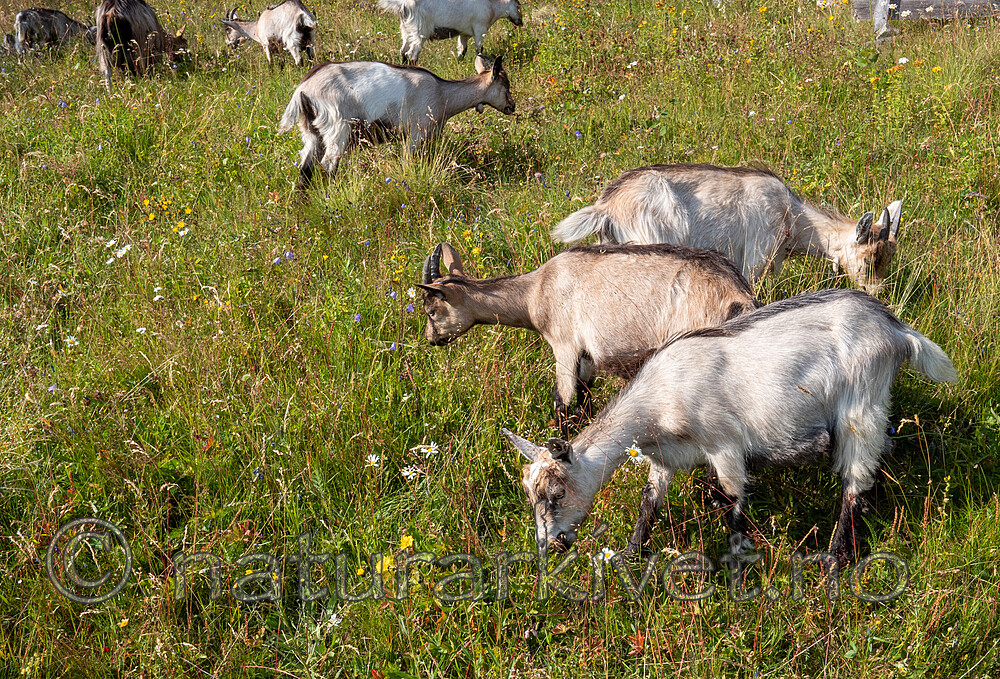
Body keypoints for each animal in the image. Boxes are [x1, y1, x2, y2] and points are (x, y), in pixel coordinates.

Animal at [278, 55, 515, 193]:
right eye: (506, 85)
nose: (512, 107)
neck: (443, 93)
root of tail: (304, 89)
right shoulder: (415, 134)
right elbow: (408, 161)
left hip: (312, 132)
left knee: (306, 168)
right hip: (337, 127)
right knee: (328, 164)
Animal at [377, 0, 522, 63]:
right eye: (518, 5)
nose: (520, 22)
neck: (493, 6)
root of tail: (403, 5)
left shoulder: (464, 33)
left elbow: (462, 49)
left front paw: (459, 63)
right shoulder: (479, 28)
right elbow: (479, 49)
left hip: (406, 29)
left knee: (403, 51)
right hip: (420, 29)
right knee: (412, 52)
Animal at [420, 241, 758, 436]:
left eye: (431, 310)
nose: (430, 340)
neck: (535, 292)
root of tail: (738, 296)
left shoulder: (565, 345)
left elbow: (563, 401)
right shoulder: (587, 357)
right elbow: (584, 400)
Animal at [503, 288, 957, 567]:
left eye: (557, 493)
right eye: (529, 494)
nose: (549, 544)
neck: (661, 398)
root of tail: (896, 329)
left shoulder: (724, 444)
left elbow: (733, 504)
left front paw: (737, 570)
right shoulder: (665, 459)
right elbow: (650, 503)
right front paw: (630, 556)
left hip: (860, 407)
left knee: (854, 482)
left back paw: (834, 558)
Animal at [552, 164, 903, 295]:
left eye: (889, 258)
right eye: (867, 261)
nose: (879, 293)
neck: (792, 216)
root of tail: (606, 207)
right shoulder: (754, 259)